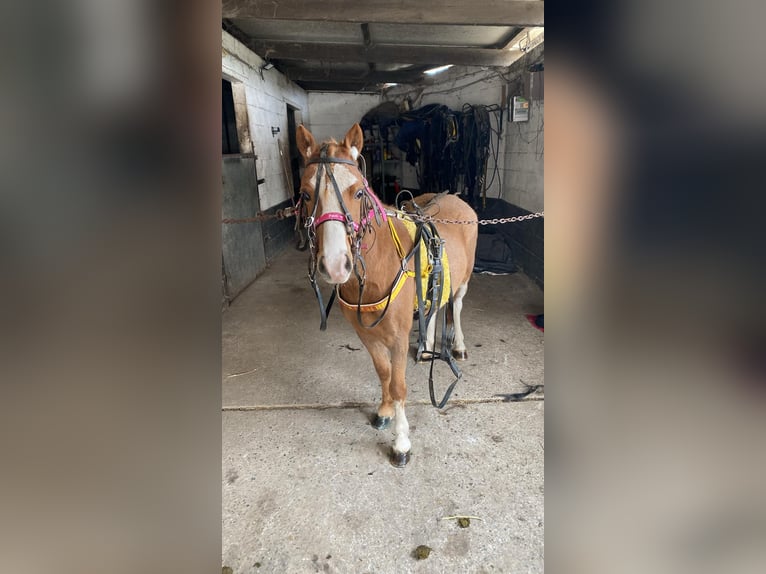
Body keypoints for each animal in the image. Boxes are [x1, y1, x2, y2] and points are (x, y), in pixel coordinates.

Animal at [296, 123, 478, 467]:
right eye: (305, 194)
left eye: (358, 192)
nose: (336, 266)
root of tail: (456, 198)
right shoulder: (365, 334)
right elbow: (383, 373)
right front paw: (383, 411)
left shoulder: (396, 338)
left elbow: (398, 385)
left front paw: (401, 442)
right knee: (435, 307)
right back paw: (426, 348)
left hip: (464, 280)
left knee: (457, 306)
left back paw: (458, 346)